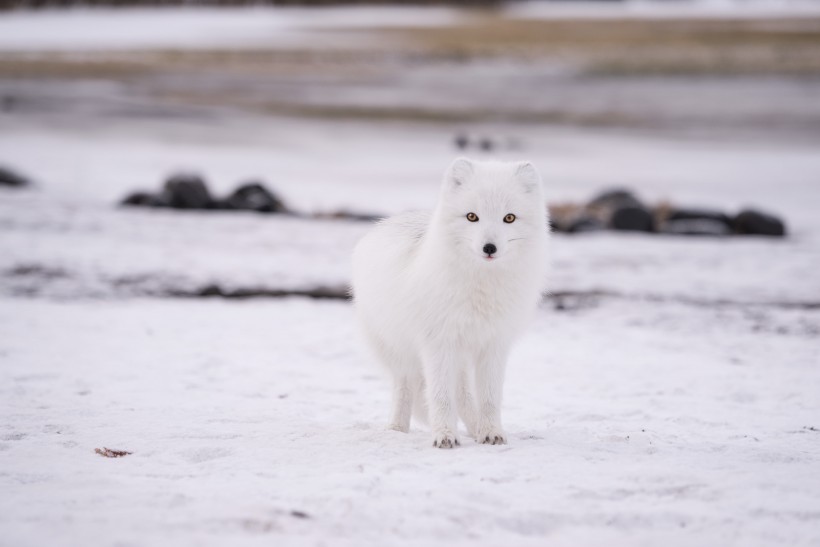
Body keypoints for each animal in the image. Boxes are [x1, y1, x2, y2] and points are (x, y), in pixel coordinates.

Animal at [350, 158, 548, 450]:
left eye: (509, 217)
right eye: (472, 216)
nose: (489, 248)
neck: (480, 288)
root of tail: (386, 223)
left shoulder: (494, 345)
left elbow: (489, 398)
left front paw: (491, 433)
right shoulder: (437, 343)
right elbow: (441, 396)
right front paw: (444, 436)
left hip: (460, 357)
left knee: (464, 396)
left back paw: (476, 429)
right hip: (400, 351)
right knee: (405, 387)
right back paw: (396, 429)